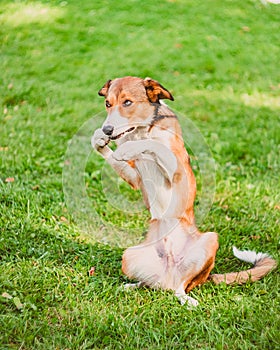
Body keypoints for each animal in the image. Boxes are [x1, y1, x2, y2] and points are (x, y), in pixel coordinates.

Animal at [91, 76, 276, 306]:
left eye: (127, 102)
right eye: (108, 103)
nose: (107, 129)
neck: (140, 132)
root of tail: (171, 271)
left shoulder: (175, 168)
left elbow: (154, 145)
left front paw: (129, 147)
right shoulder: (136, 179)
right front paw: (98, 139)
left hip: (209, 241)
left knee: (179, 287)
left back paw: (187, 301)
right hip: (129, 255)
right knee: (156, 284)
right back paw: (133, 286)